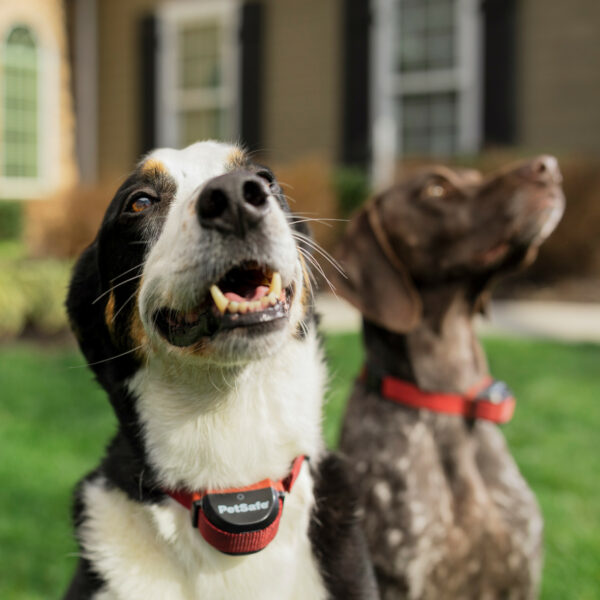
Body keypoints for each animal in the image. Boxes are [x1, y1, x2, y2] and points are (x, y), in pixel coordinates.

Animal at [336, 157, 564, 596]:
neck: (450, 399)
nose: (547, 166)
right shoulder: (399, 580)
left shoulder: (521, 576)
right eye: (436, 190)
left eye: (474, 177)